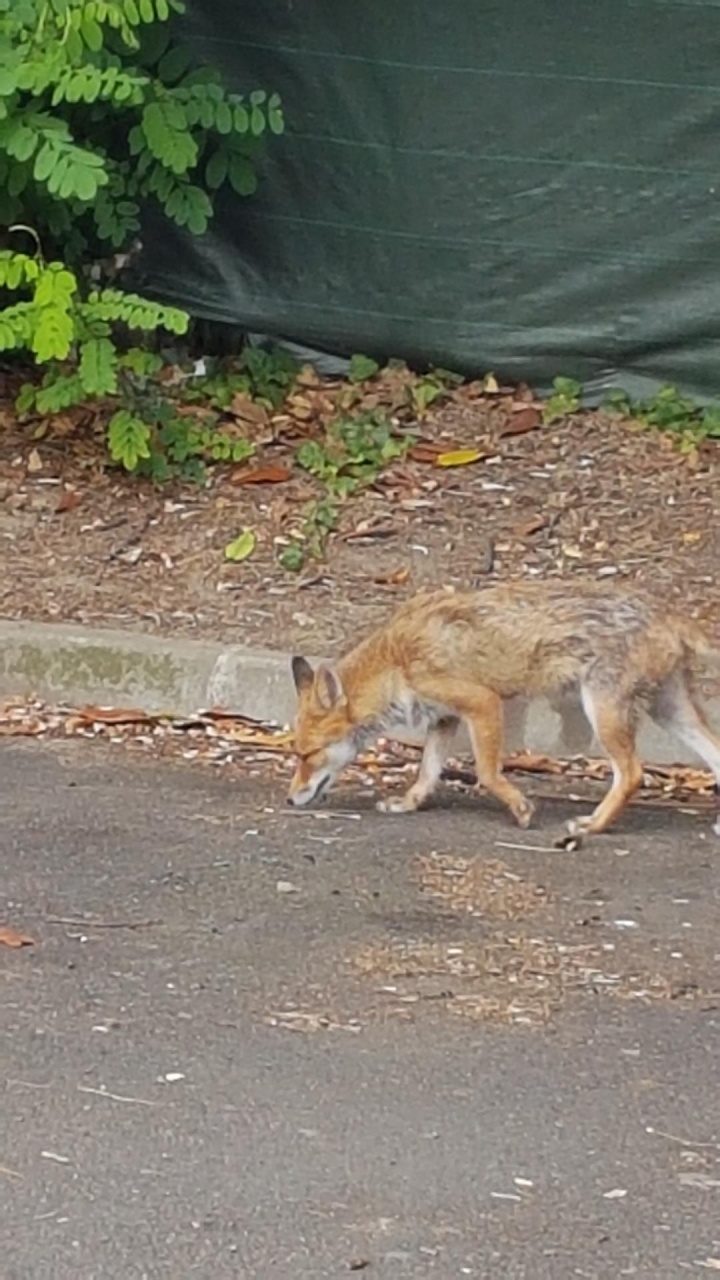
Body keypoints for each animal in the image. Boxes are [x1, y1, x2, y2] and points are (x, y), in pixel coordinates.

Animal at [287, 580, 720, 845]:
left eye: (308, 754)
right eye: (297, 754)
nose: (290, 800)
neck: (396, 660)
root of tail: (665, 610)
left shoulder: (482, 702)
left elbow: (487, 772)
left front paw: (520, 809)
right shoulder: (445, 717)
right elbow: (426, 773)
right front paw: (408, 804)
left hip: (604, 709)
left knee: (631, 775)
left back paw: (592, 826)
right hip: (671, 712)